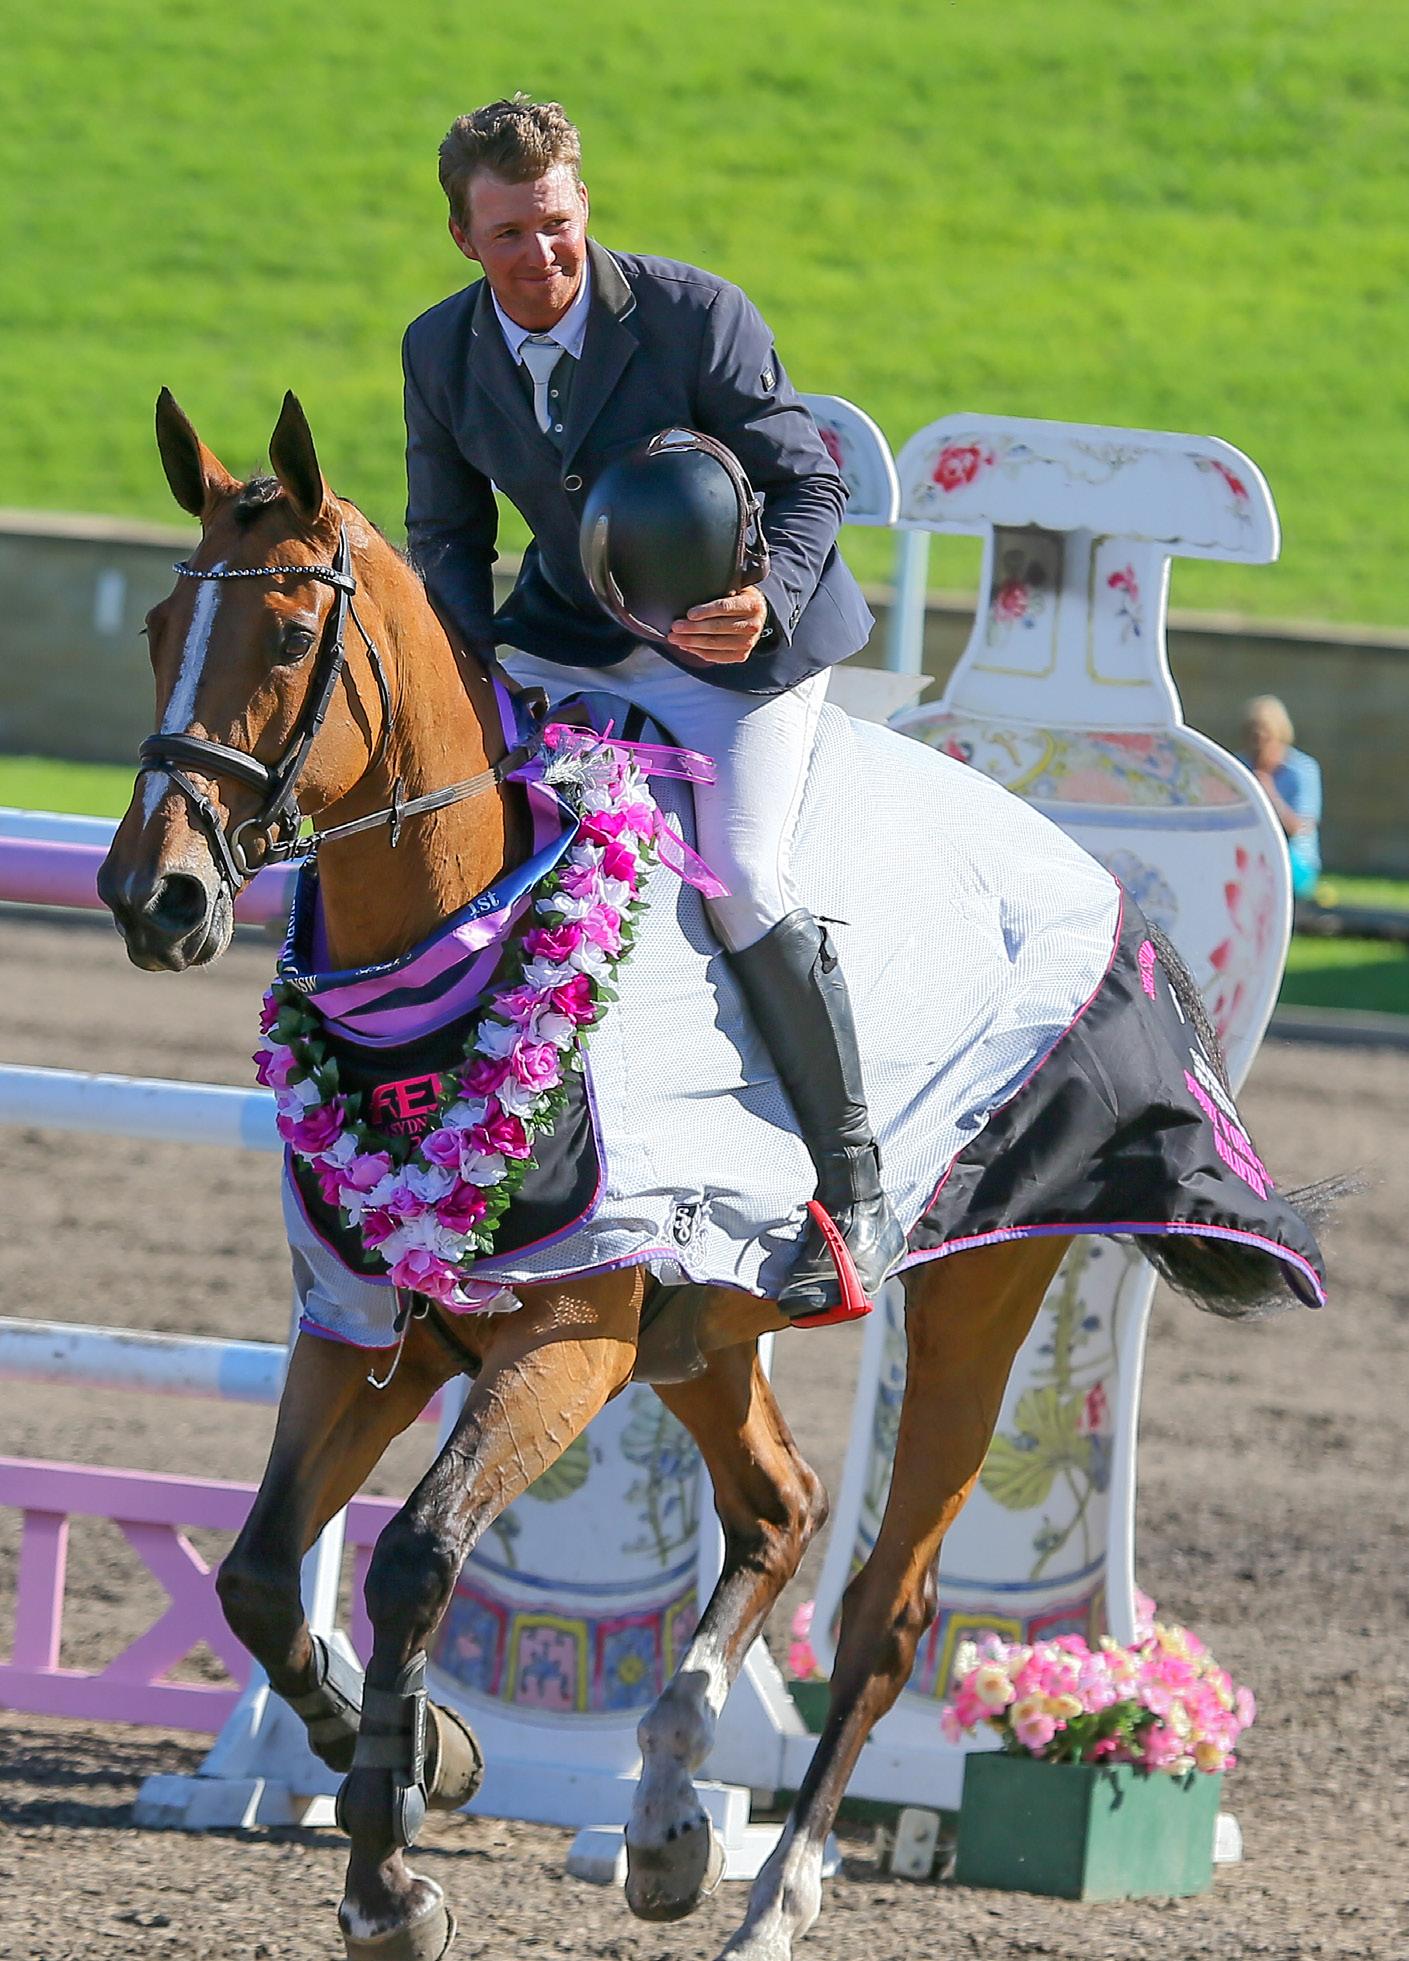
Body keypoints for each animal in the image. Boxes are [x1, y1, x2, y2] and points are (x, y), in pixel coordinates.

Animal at [98, 390, 1329, 1961]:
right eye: (156, 625)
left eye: (291, 637)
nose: (154, 896)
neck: (464, 949)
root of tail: (1082, 865)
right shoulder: (373, 1325)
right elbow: (257, 1575)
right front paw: (437, 1754)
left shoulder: (568, 1334)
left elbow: (416, 1556)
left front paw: (390, 1870)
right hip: (706, 1326)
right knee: (781, 1506)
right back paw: (670, 1814)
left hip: (978, 1293)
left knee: (885, 1606)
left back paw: (768, 1895)